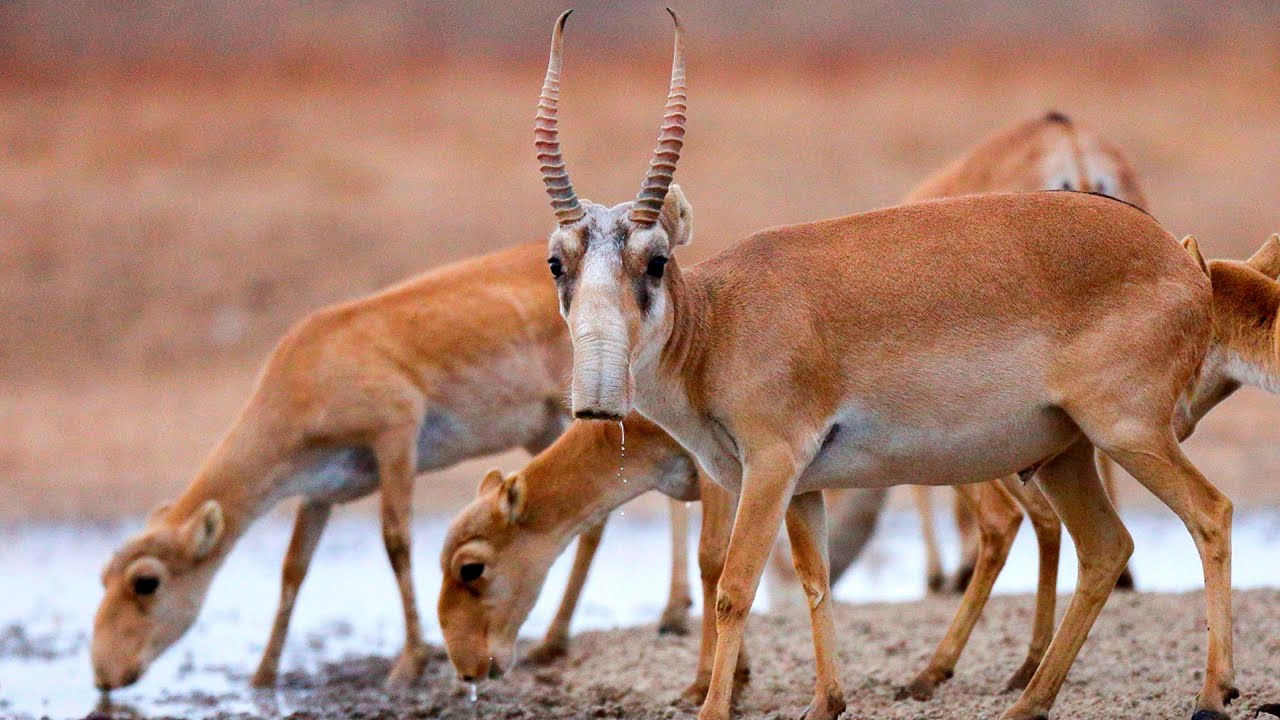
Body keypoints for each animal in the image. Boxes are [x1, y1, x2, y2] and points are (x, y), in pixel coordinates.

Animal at [87, 239, 701, 691]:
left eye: (146, 582)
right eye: (103, 576)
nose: (102, 676)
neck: (305, 372)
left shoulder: (395, 437)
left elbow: (396, 540)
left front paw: (409, 661)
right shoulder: (320, 492)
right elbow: (293, 568)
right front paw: (262, 675)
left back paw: (648, 618)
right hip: (545, 432)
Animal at [527, 11, 1228, 717]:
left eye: (656, 260)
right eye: (558, 262)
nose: (598, 398)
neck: (716, 322)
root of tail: (1183, 261)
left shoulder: (770, 467)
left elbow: (734, 588)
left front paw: (714, 706)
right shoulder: (804, 487)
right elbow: (815, 582)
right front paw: (826, 703)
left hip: (1128, 434)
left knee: (1210, 514)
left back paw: (1211, 695)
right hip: (1063, 454)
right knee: (1107, 548)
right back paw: (1026, 700)